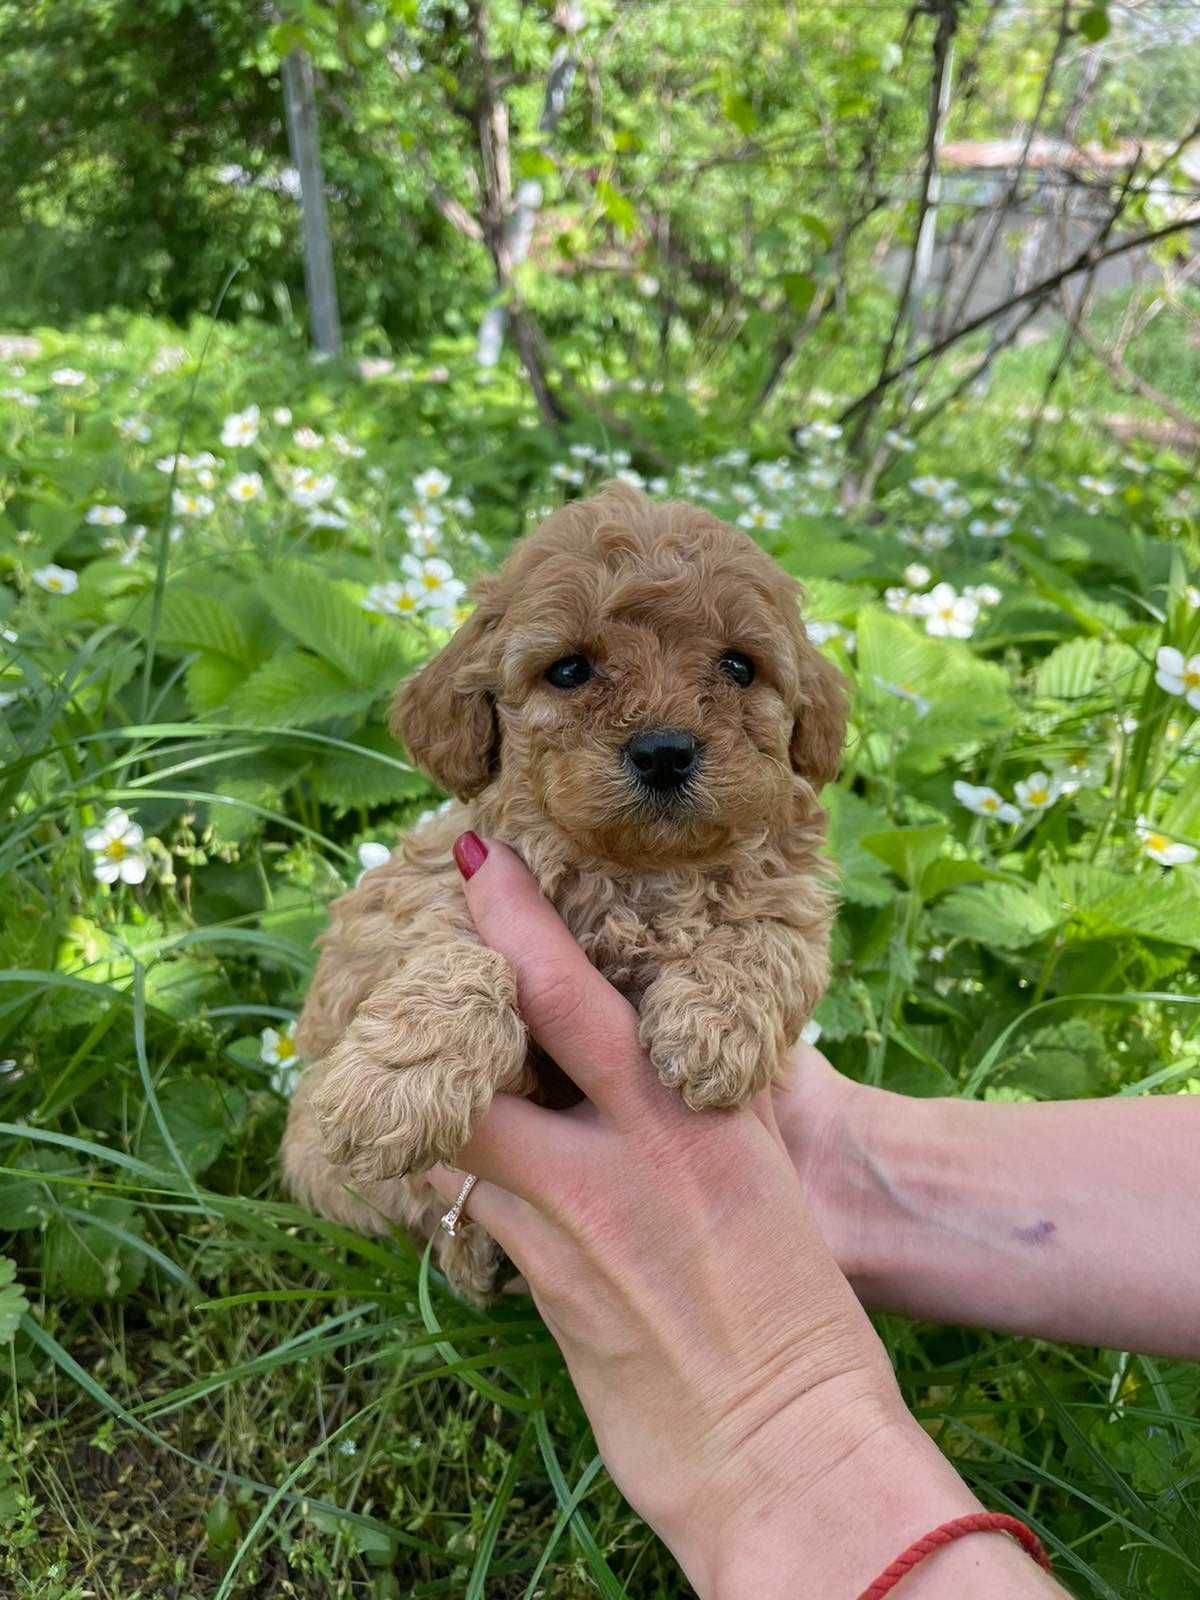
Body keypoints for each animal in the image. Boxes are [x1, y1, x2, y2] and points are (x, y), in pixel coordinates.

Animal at [281, 480, 844, 1292]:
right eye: (571, 670)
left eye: (739, 668)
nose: (665, 751)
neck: (638, 873)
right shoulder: (441, 884)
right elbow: (460, 954)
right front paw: (394, 1089)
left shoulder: (794, 897)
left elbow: (772, 936)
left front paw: (715, 1029)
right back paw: (471, 1250)